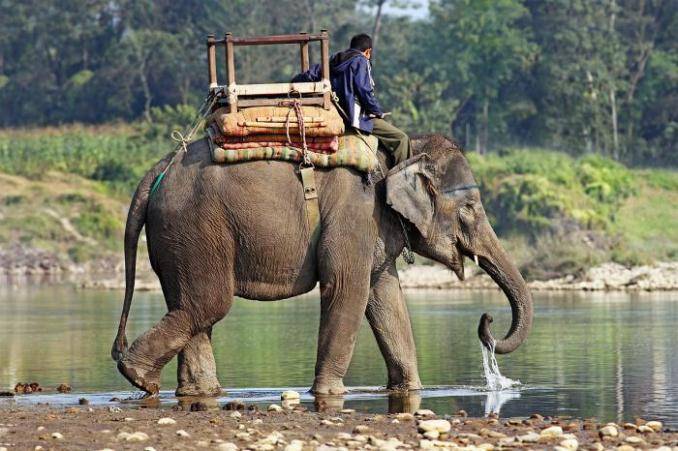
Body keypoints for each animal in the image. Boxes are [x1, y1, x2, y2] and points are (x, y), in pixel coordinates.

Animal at [111, 133, 533, 397]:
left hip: (180, 238)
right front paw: (330, 393)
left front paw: (411, 389)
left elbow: (384, 296)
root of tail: (160, 168)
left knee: (191, 306)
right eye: (469, 208)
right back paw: (142, 380)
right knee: (208, 304)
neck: (402, 152)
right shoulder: (355, 213)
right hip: (194, 227)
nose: (487, 320)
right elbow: (348, 288)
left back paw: (197, 390)